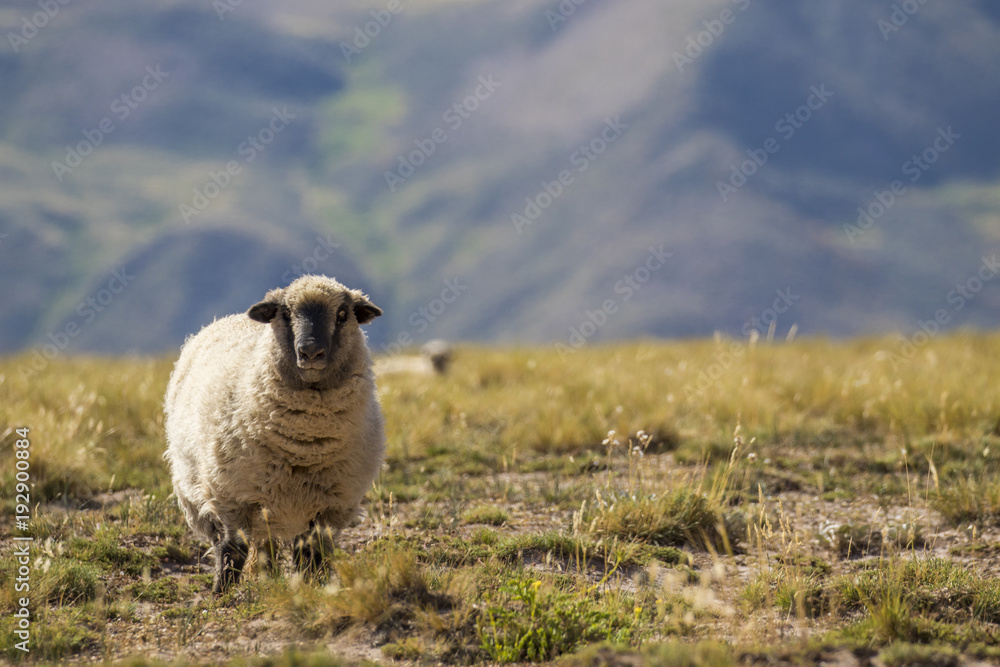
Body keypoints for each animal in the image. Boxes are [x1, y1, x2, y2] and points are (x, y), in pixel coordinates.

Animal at [163, 275, 385, 593]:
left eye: (343, 315)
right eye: (286, 313)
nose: (310, 352)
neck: (305, 446)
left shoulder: (332, 505)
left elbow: (314, 554)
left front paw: (314, 588)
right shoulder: (231, 494)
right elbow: (232, 548)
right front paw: (222, 593)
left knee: (270, 546)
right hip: (198, 490)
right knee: (230, 541)